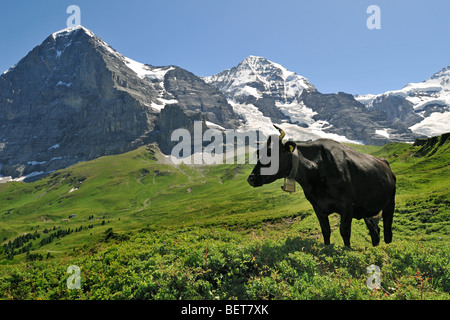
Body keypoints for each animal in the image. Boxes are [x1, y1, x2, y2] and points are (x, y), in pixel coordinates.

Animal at [248, 125, 396, 248]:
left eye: (272, 155)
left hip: (389, 204)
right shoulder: (317, 206)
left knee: (388, 230)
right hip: (368, 210)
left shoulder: (347, 204)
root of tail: (386, 165)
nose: (251, 178)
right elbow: (326, 231)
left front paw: (347, 251)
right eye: (260, 154)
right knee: (375, 230)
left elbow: (344, 231)